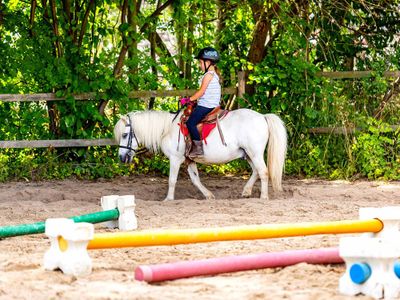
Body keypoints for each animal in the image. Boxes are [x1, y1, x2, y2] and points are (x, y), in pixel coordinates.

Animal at [114, 109, 286, 200]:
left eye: (124, 135)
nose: (121, 157)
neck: (167, 129)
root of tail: (263, 117)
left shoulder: (175, 159)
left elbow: (172, 180)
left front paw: (168, 199)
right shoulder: (189, 160)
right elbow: (195, 180)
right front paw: (209, 195)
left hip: (254, 153)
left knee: (263, 172)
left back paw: (263, 196)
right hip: (248, 154)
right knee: (256, 171)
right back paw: (246, 191)